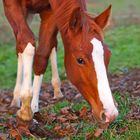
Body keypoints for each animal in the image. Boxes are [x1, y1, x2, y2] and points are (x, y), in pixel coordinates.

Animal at [2, 0, 118, 136]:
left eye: (108, 56)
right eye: (80, 60)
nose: (110, 113)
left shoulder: (50, 12)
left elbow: (42, 55)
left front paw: (33, 108)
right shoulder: (11, 5)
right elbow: (27, 42)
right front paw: (25, 112)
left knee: (52, 45)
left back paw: (57, 89)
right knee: (19, 46)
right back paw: (16, 98)